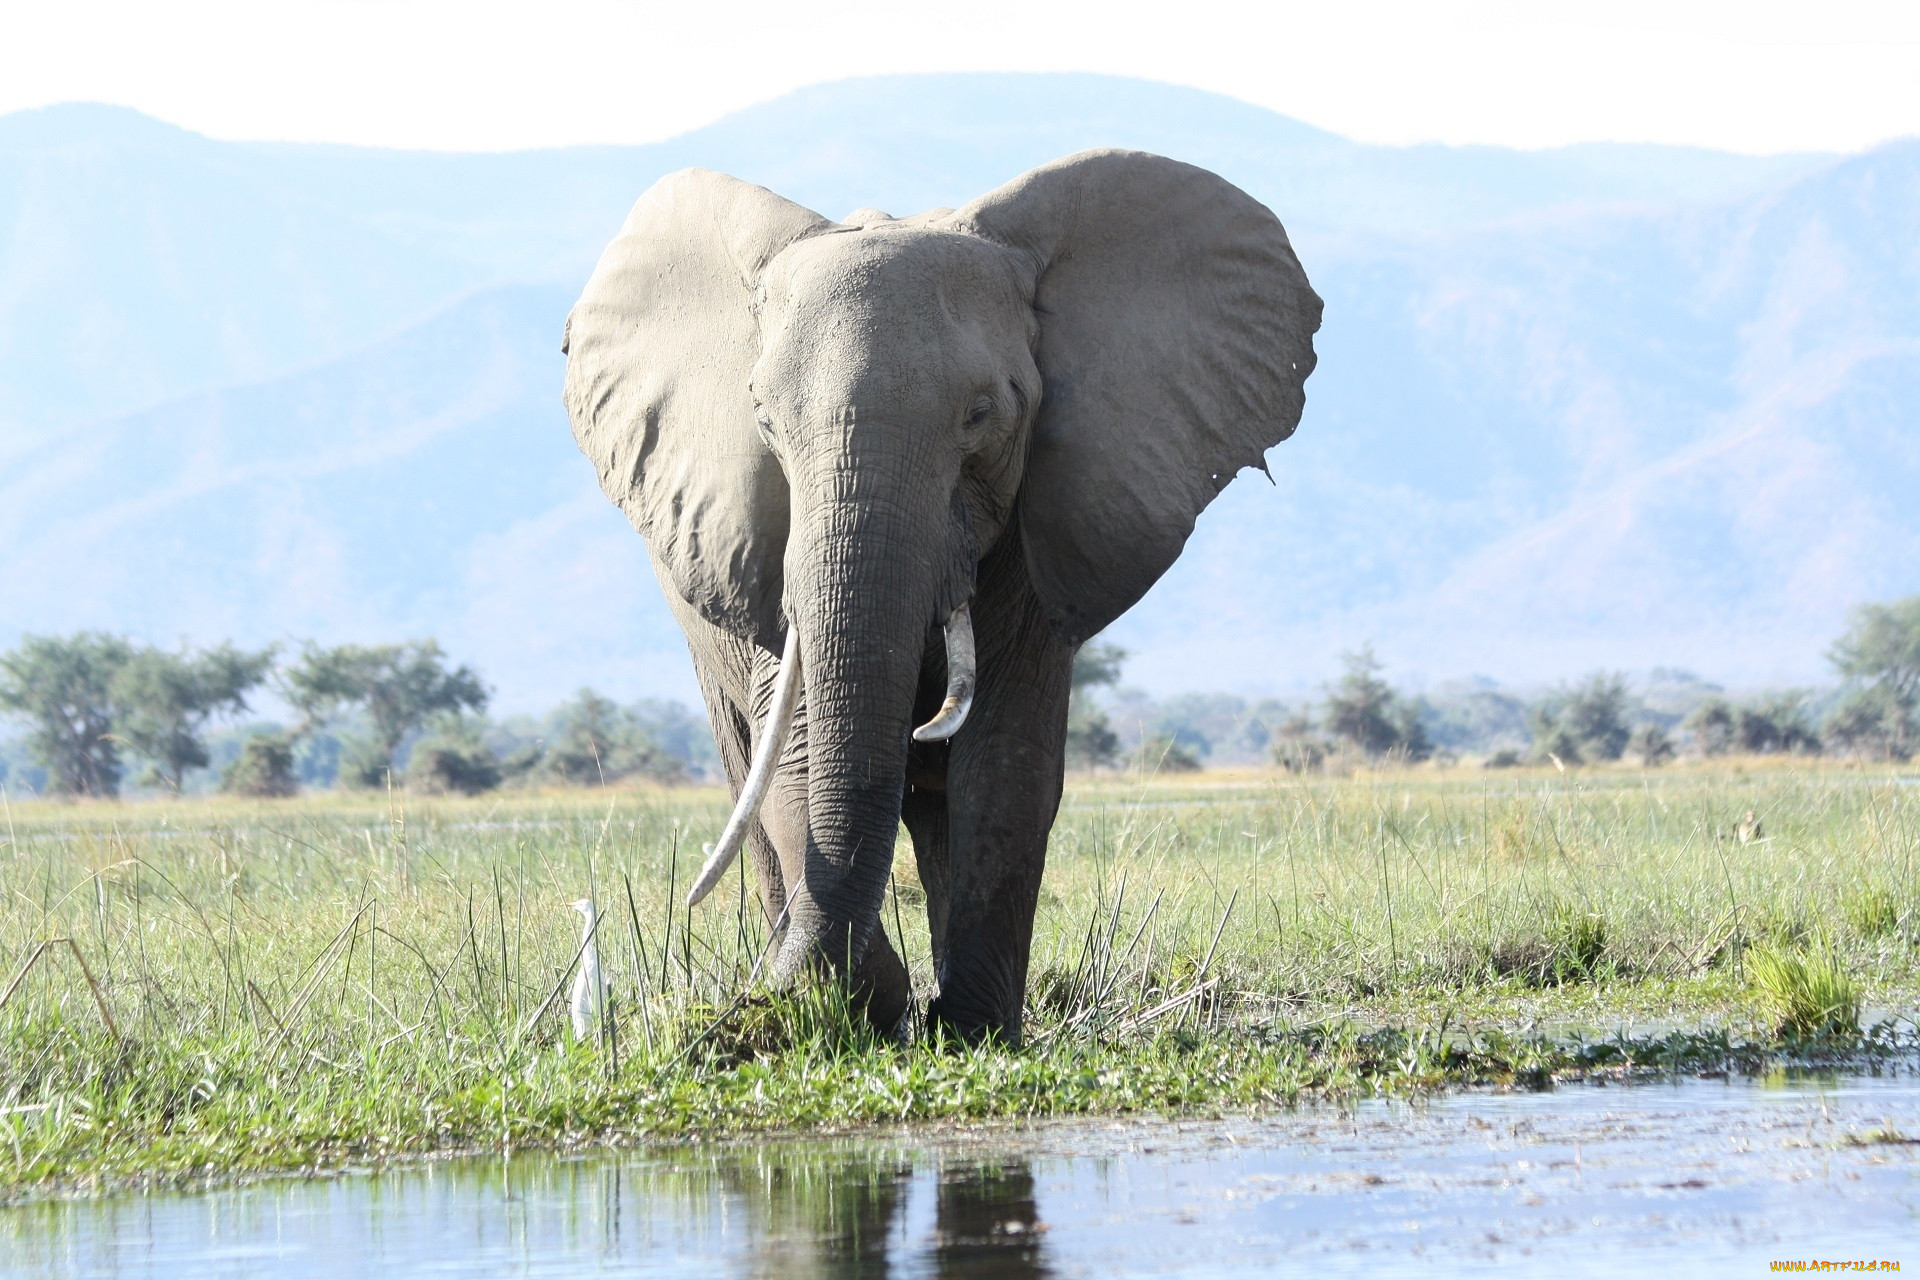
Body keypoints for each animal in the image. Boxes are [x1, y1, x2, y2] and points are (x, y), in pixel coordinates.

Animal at [560, 150, 1320, 1043]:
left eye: (982, 414)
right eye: (763, 419)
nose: (750, 1011)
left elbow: (1005, 766)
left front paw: (969, 1034)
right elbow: (796, 754)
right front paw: (852, 1003)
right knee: (750, 772)